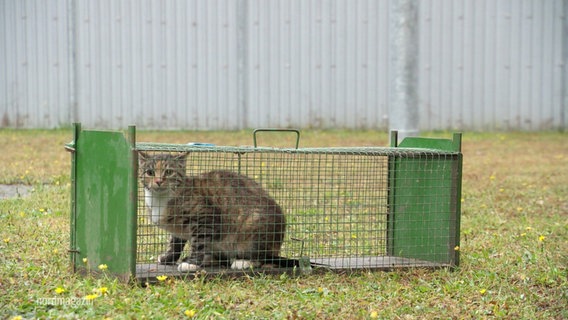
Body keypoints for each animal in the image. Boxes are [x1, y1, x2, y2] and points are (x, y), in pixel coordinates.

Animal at [138, 151, 288, 272]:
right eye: (150, 172)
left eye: (169, 172)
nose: (158, 181)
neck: (160, 200)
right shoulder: (177, 227)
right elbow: (175, 242)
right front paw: (168, 257)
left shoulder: (206, 217)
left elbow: (198, 242)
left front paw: (191, 264)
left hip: (254, 224)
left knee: (264, 257)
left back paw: (244, 261)